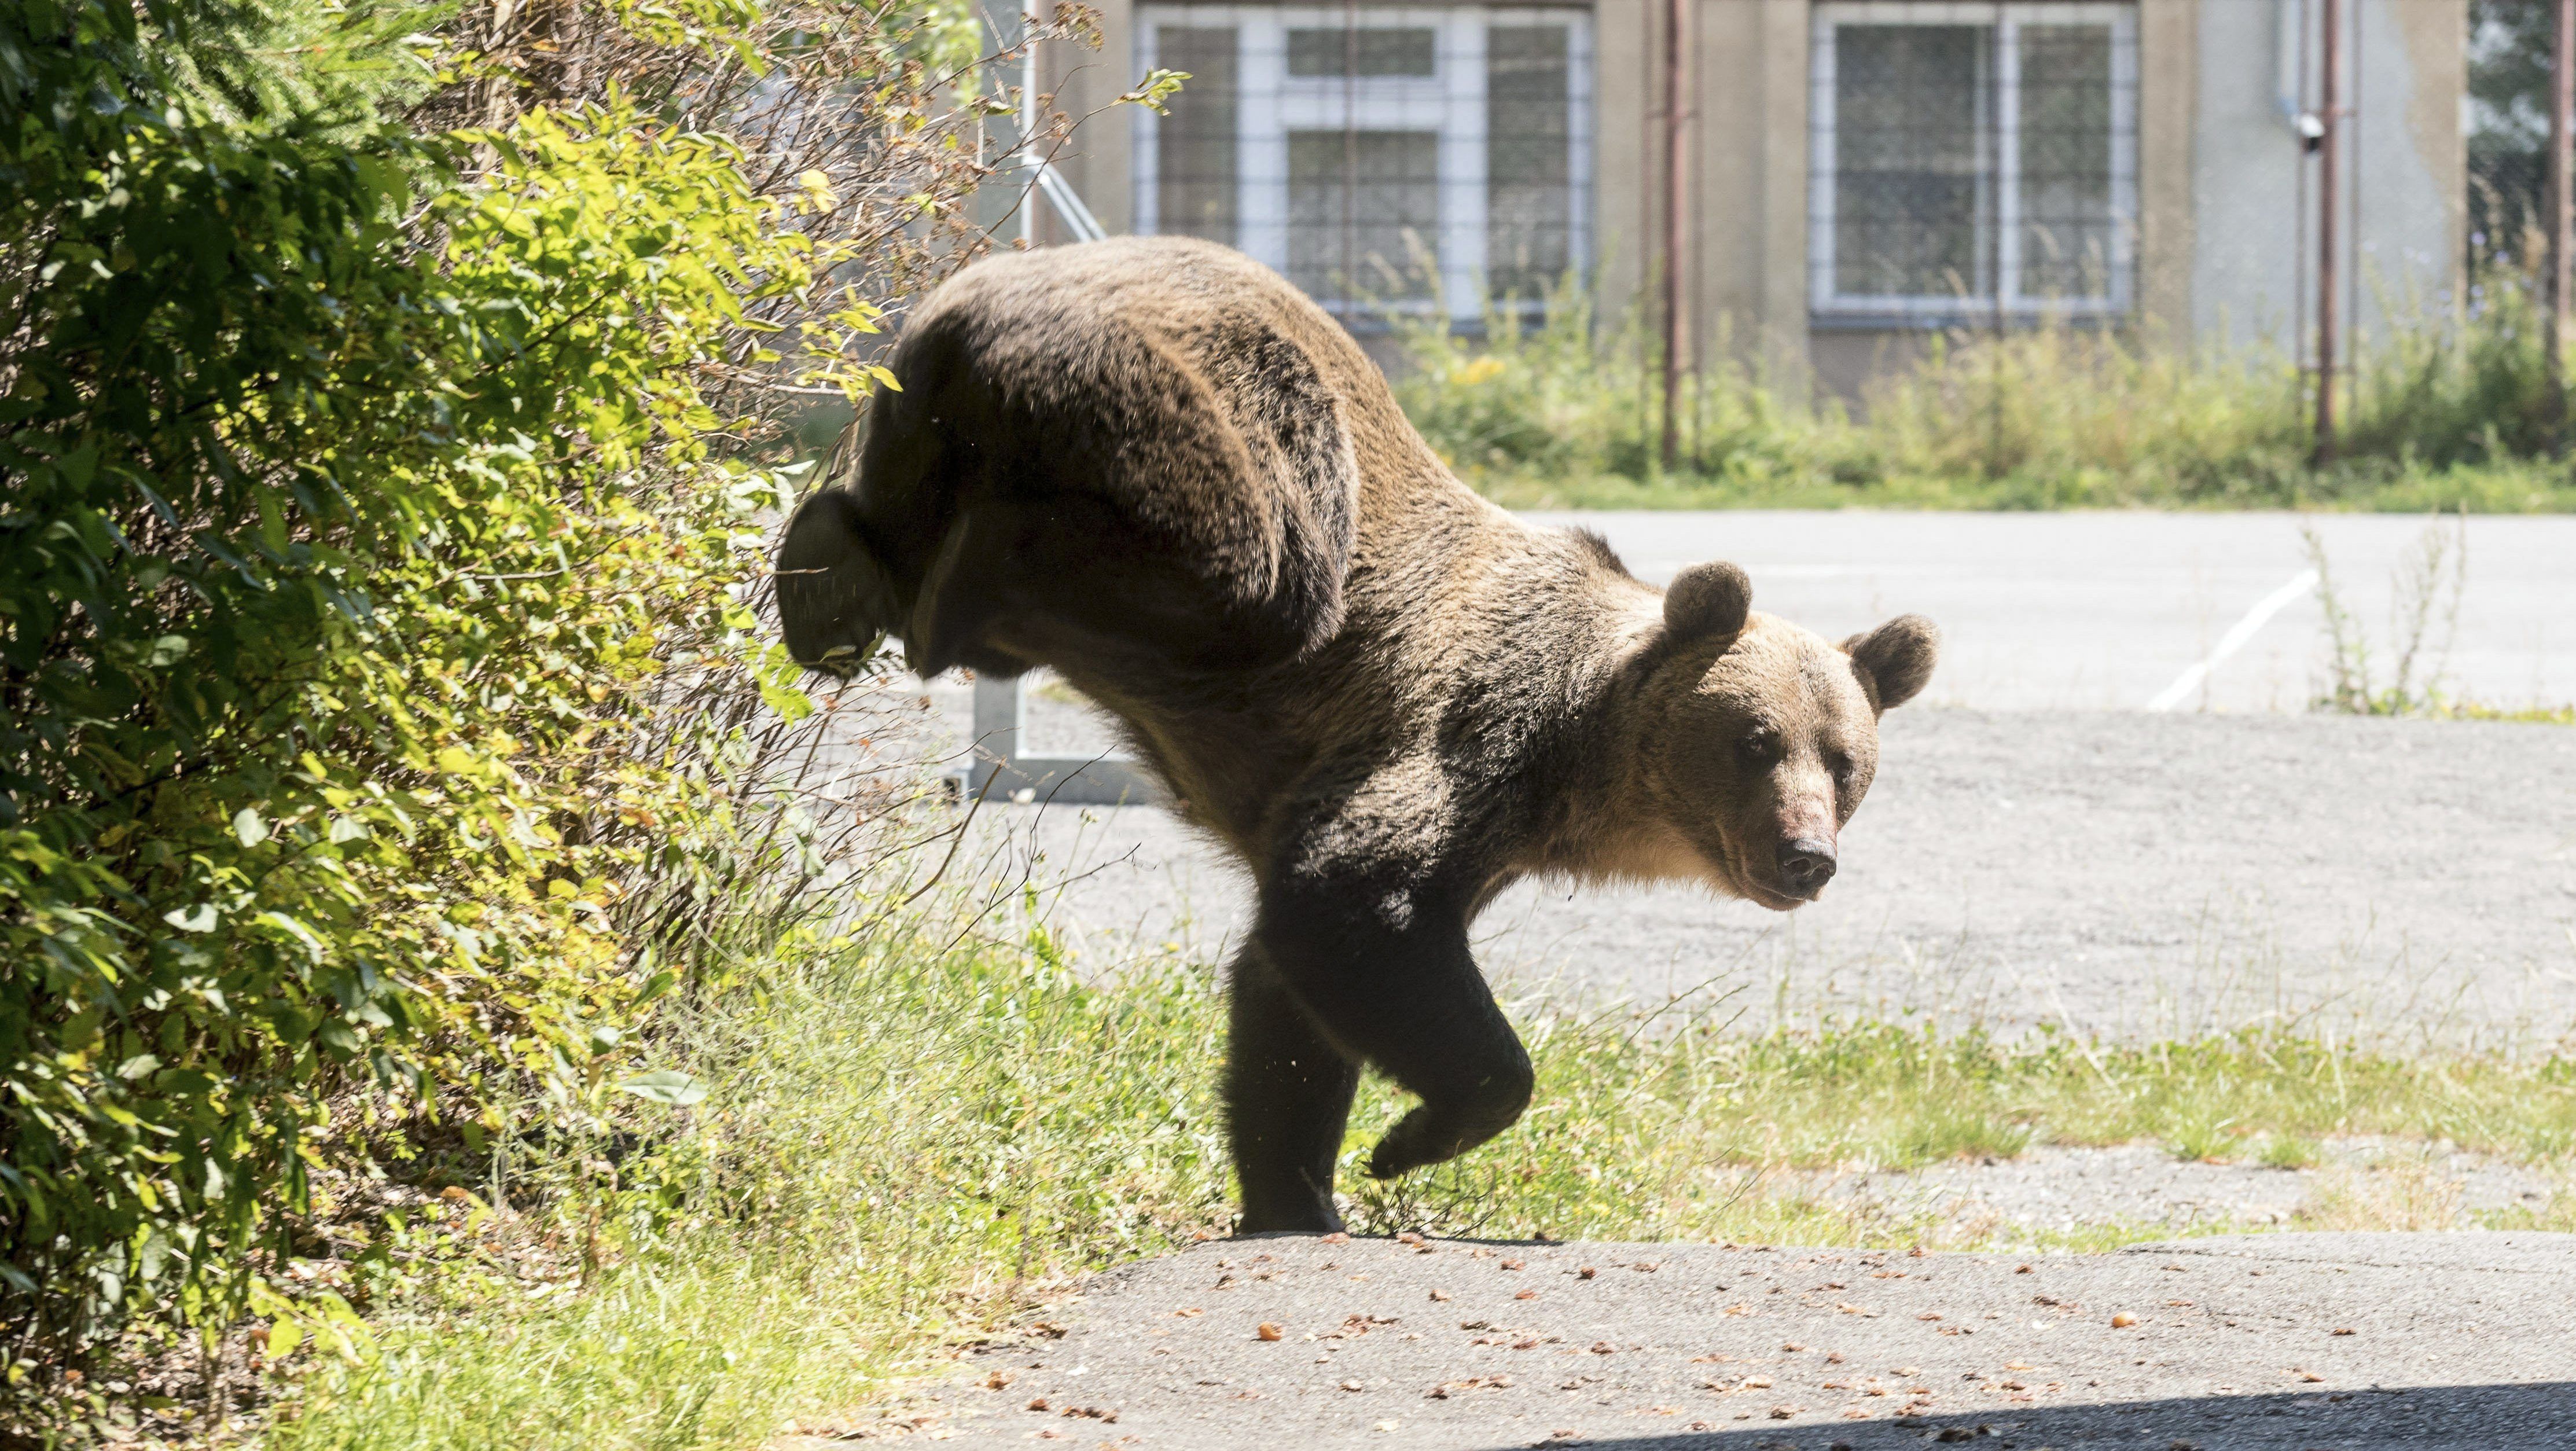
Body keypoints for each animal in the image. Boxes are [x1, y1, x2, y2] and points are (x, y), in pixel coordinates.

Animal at [783, 241, 1937, 1237]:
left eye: (1845, 763)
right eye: (1755, 740)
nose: (1806, 854)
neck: (1577, 760)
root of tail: (971, 301)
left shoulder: (1486, 834)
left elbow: (1283, 999)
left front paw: (1297, 1189)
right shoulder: (1466, 732)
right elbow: (1351, 896)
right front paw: (1408, 1139)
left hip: (915, 409)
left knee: (885, 511)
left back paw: (826, 574)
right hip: (1203, 416)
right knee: (1250, 565)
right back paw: (947, 588)